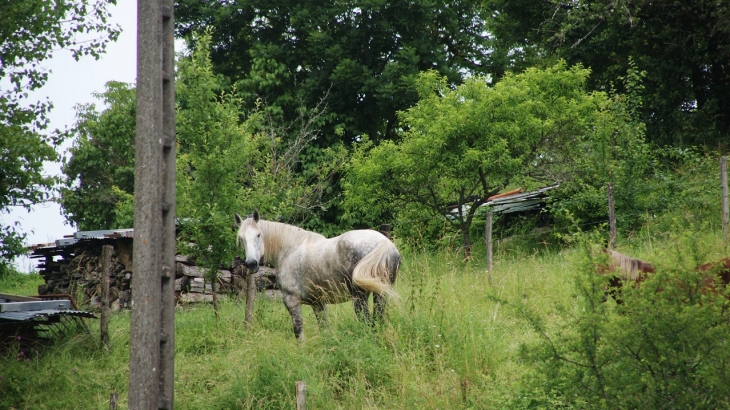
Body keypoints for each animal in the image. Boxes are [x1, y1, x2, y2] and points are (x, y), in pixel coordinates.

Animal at [233, 211, 400, 340]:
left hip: (360, 298)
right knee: (378, 321)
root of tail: (384, 243)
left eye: (258, 235)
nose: (251, 264)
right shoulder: (318, 303)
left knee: (368, 323)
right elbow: (325, 329)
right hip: (381, 295)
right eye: (241, 239)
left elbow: (299, 333)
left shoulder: (292, 301)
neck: (289, 250)